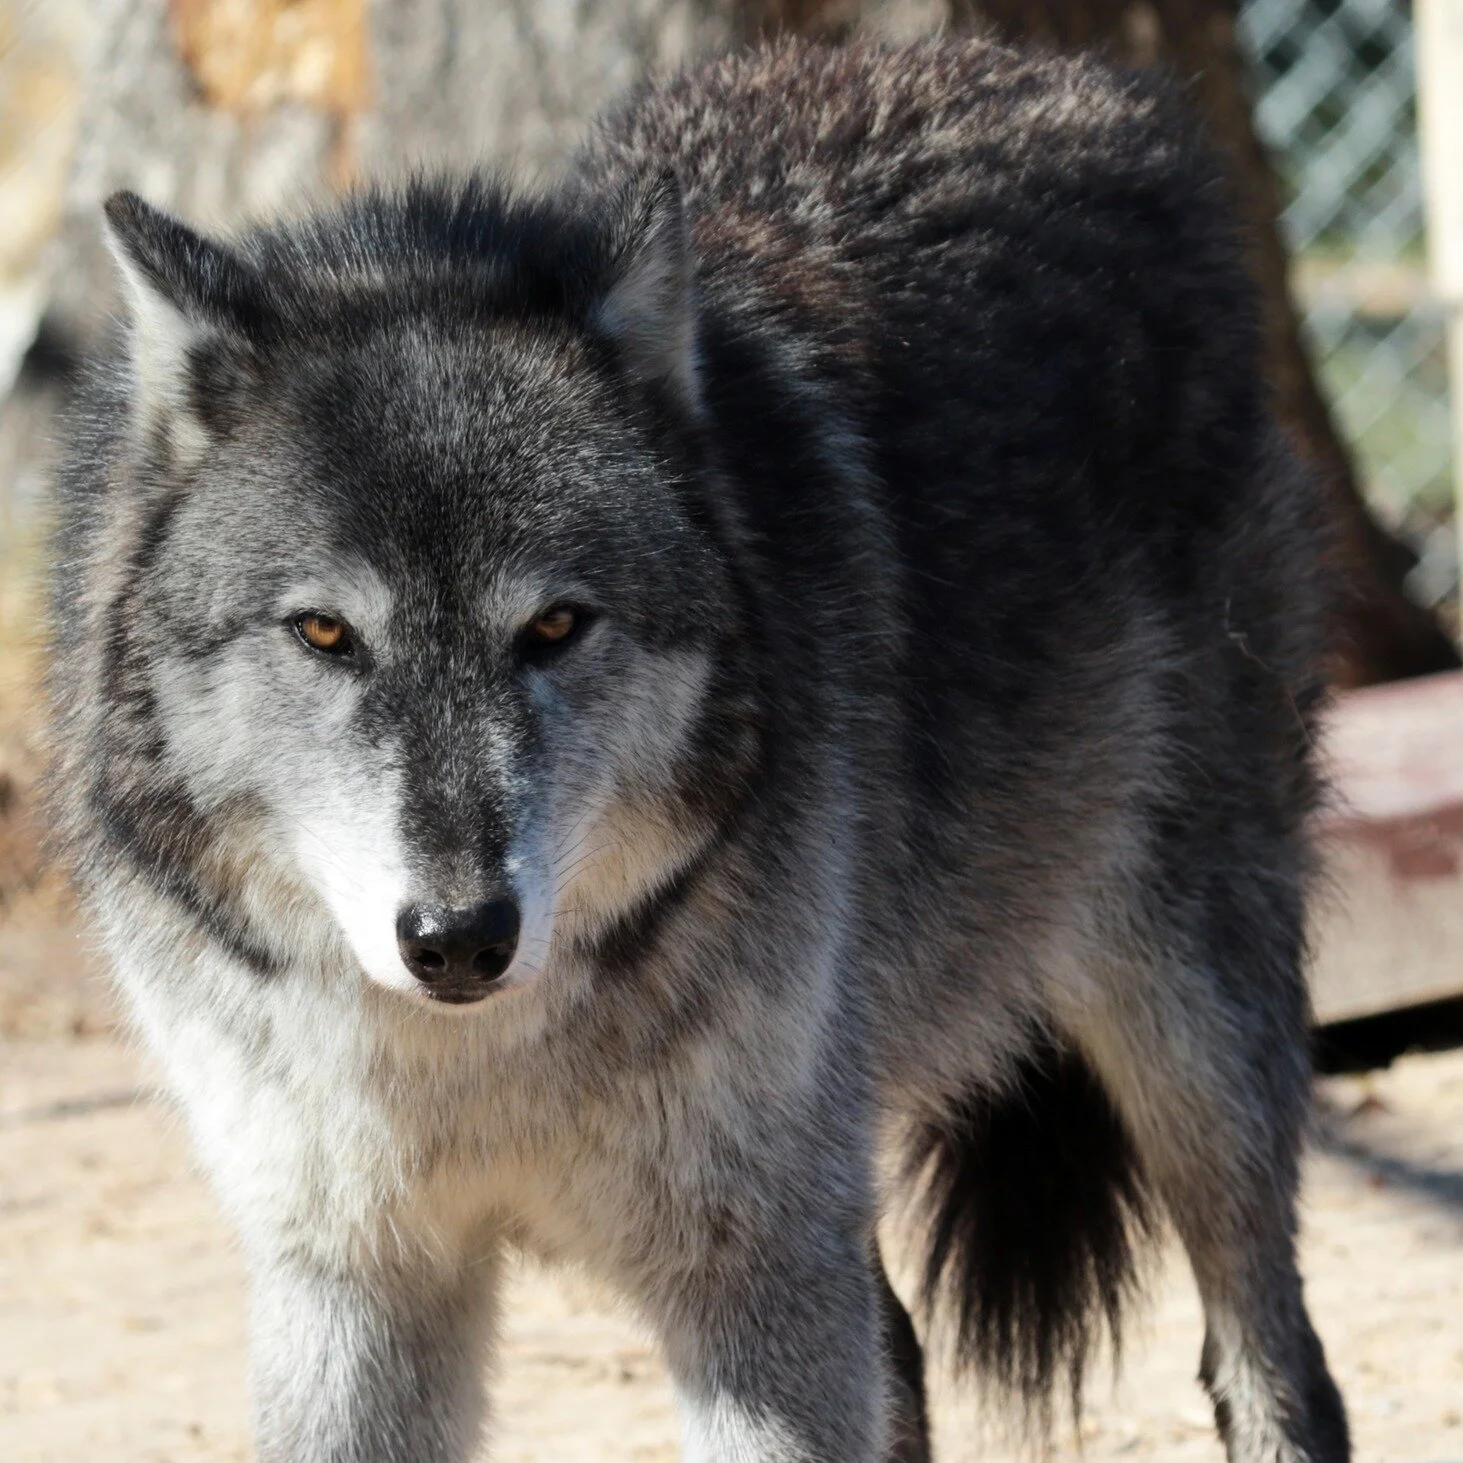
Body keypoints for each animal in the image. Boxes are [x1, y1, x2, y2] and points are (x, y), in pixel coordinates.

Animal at [48, 36, 1348, 1463]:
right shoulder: (352, 1283)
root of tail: (1029, 68)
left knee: (1271, 1349)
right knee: (900, 1346)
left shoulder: (750, 1271)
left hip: (1183, 1035)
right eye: (325, 631)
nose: (456, 938)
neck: (472, 1063)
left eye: (556, 625)